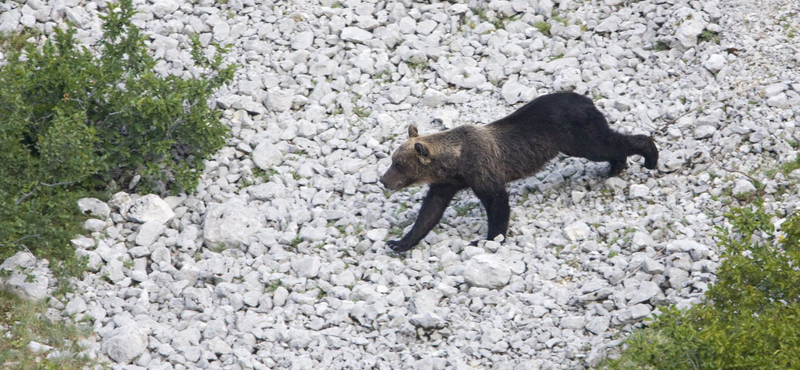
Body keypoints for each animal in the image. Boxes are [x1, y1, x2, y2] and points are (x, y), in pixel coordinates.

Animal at [380, 91, 656, 253]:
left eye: (398, 164)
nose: (383, 180)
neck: (455, 162)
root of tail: (586, 98)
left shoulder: (481, 168)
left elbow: (497, 203)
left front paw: (487, 239)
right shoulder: (447, 182)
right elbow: (430, 210)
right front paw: (399, 241)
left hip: (575, 134)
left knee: (604, 144)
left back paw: (649, 157)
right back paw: (615, 166)